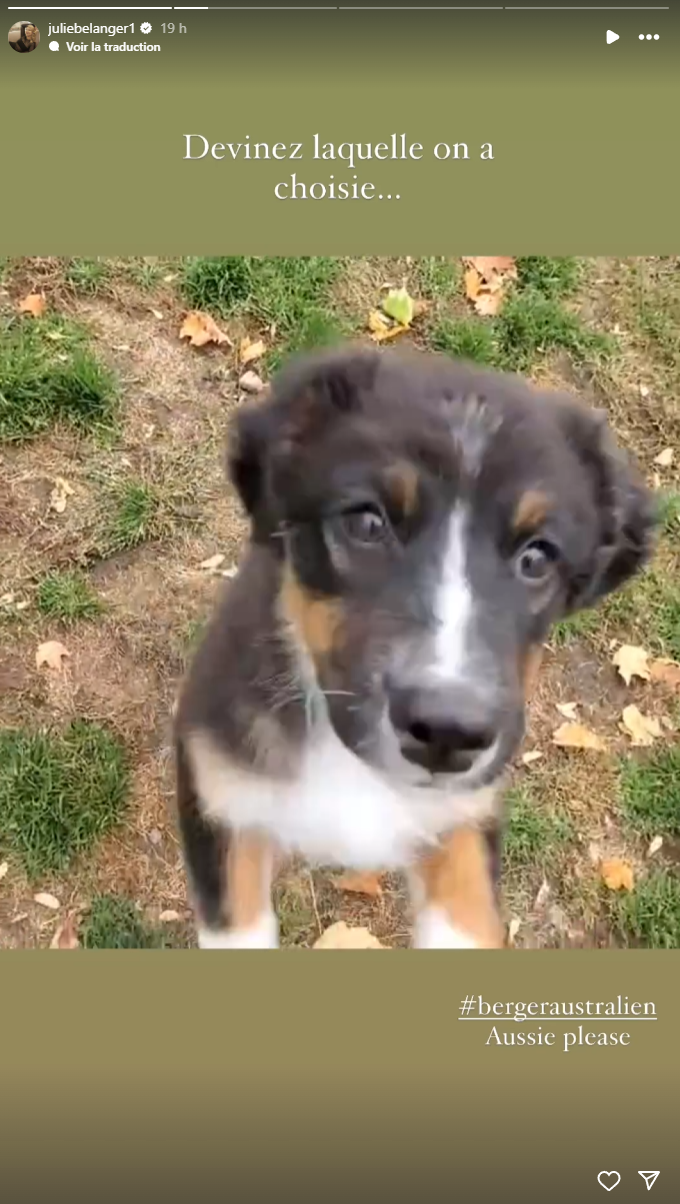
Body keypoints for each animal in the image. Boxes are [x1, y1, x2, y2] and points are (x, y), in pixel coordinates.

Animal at [172, 349, 654, 948]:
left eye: (537, 557)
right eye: (367, 522)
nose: (449, 733)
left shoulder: (463, 814)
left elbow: (469, 918)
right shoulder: (222, 795)